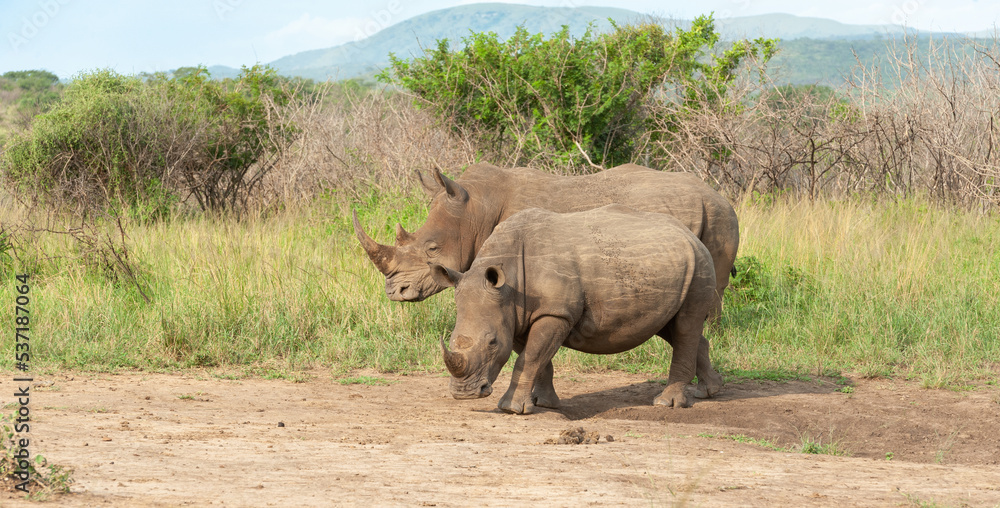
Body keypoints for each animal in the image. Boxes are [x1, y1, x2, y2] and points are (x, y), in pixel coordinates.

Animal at [353, 163, 739, 319]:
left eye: (432, 249)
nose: (395, 293)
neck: (475, 207)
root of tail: (716, 195)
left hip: (721, 216)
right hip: (716, 215)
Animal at [431, 205, 723, 414]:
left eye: (492, 342)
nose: (464, 393)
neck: (509, 283)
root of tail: (690, 235)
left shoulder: (555, 312)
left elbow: (530, 357)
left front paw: (512, 409)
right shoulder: (517, 315)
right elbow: (539, 359)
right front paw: (543, 403)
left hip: (700, 263)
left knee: (685, 325)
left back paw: (667, 403)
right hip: (668, 267)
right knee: (670, 327)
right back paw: (709, 392)